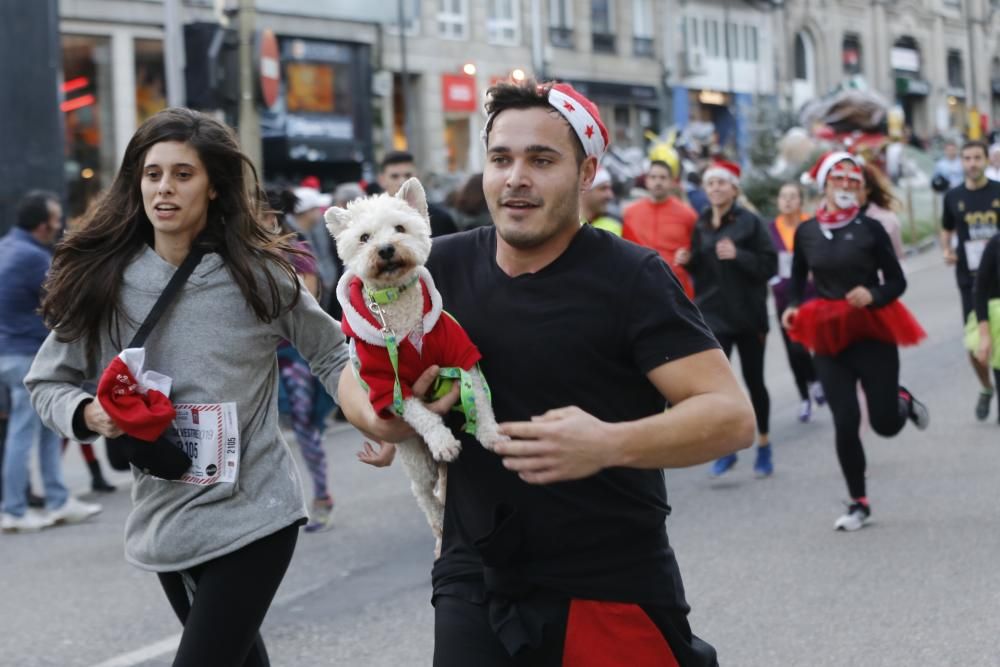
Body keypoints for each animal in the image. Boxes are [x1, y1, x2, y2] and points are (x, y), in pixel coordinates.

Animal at [324, 179, 504, 544]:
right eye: (364, 238)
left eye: (400, 228)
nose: (386, 249)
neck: (399, 312)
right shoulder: (389, 386)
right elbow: (422, 415)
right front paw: (444, 442)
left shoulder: (461, 356)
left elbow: (478, 397)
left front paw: (489, 432)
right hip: (415, 456)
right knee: (422, 491)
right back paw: (437, 520)